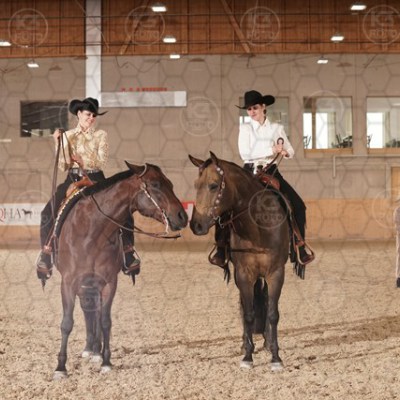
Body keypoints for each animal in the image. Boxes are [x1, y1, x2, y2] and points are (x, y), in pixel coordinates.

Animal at [52, 161, 188, 380]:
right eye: (155, 184)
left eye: (170, 183)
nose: (182, 216)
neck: (91, 231)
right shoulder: (68, 281)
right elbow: (67, 323)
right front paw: (60, 367)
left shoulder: (109, 282)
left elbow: (105, 320)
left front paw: (106, 361)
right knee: (87, 310)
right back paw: (89, 349)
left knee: (94, 312)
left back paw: (95, 350)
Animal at [189, 152, 290, 370]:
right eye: (196, 184)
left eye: (213, 185)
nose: (195, 225)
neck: (258, 229)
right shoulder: (243, 274)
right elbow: (248, 313)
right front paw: (247, 355)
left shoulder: (276, 273)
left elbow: (273, 313)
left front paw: (276, 356)